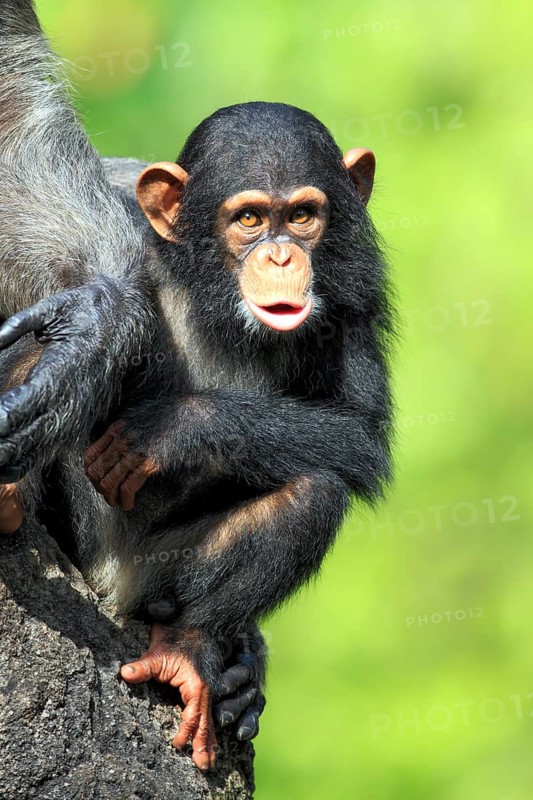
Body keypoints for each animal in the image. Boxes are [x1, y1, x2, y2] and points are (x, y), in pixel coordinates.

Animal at [0, 1, 395, 772]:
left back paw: (195, 651)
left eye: (303, 216)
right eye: (249, 218)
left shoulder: (351, 300)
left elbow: (357, 434)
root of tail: (107, 586)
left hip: (151, 580)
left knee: (314, 491)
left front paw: (174, 428)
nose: (282, 256)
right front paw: (91, 331)